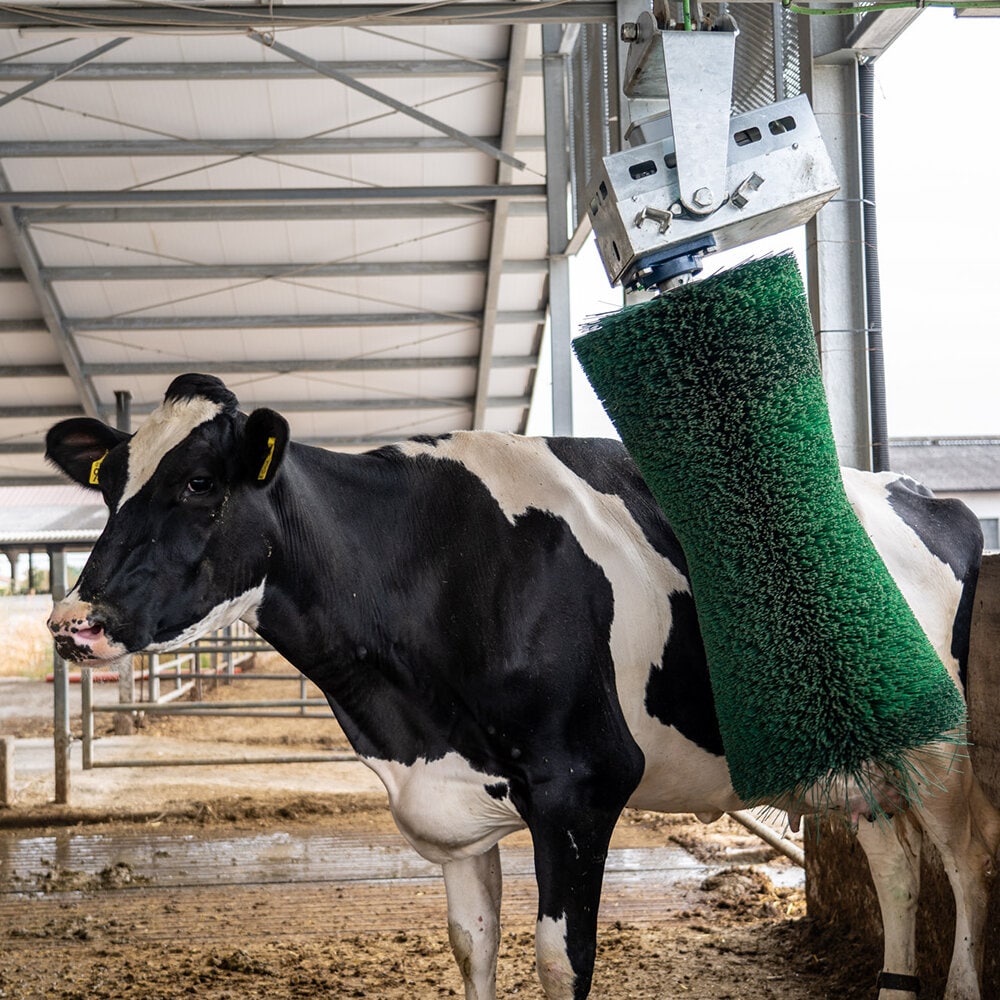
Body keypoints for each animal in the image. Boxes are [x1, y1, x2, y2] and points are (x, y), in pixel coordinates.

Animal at [45, 376, 1000, 1000]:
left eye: (199, 483)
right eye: (109, 486)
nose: (73, 620)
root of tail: (914, 489)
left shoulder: (580, 790)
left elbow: (559, 959)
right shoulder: (453, 805)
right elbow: (473, 949)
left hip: (937, 742)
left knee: (964, 854)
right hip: (853, 753)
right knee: (895, 860)